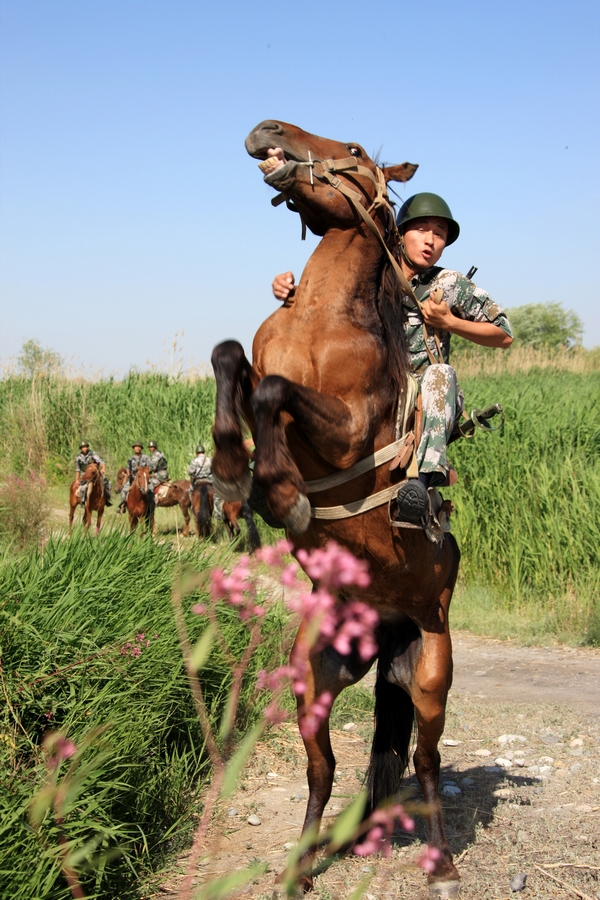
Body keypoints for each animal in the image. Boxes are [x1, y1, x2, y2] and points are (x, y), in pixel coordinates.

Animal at [210, 121, 462, 898]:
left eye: (351, 152)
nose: (268, 130)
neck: (321, 318)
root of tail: (384, 630)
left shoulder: (347, 427)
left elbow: (273, 395)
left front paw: (282, 496)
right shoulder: (257, 362)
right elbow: (231, 359)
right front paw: (233, 470)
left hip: (432, 674)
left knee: (426, 763)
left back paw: (442, 865)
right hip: (314, 681)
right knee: (321, 771)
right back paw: (298, 867)